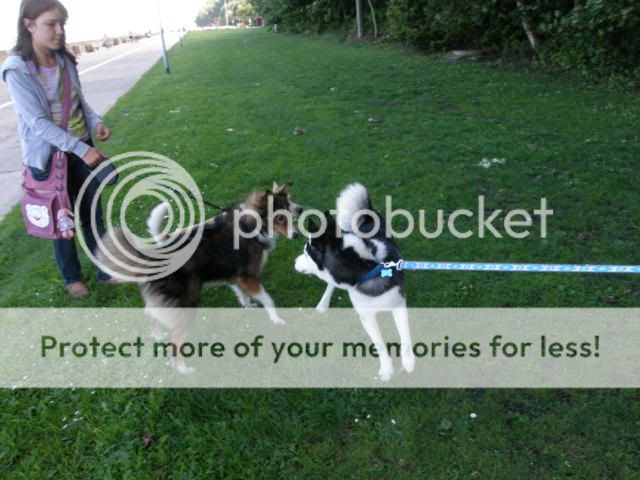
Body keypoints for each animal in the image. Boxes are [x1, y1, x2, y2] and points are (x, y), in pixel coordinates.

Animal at [98, 182, 302, 373]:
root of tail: (153, 255)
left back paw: (157, 336)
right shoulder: (249, 277)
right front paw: (276, 319)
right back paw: (184, 370)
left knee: (151, 313)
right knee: (175, 340)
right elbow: (268, 299)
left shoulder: (235, 276)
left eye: (289, 209)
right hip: (186, 302)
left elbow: (243, 295)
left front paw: (249, 307)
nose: (297, 235)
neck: (253, 224)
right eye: (280, 218)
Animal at [294, 183, 415, 381]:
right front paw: (387, 369)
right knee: (330, 285)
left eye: (305, 253)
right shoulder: (365, 315)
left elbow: (404, 333)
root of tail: (367, 215)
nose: (294, 262)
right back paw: (323, 304)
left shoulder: (398, 302)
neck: (367, 267)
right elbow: (379, 344)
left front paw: (408, 361)